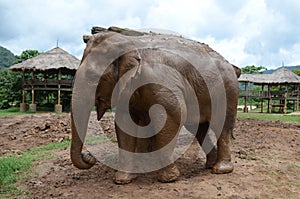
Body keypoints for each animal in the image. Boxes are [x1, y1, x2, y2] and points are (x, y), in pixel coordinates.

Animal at [71, 29, 241, 185]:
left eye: (93, 76)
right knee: (199, 128)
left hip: (228, 90)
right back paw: (209, 165)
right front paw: (123, 180)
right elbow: (124, 124)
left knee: (221, 125)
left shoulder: (160, 82)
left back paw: (221, 170)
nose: (89, 157)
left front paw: (167, 178)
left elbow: (173, 115)